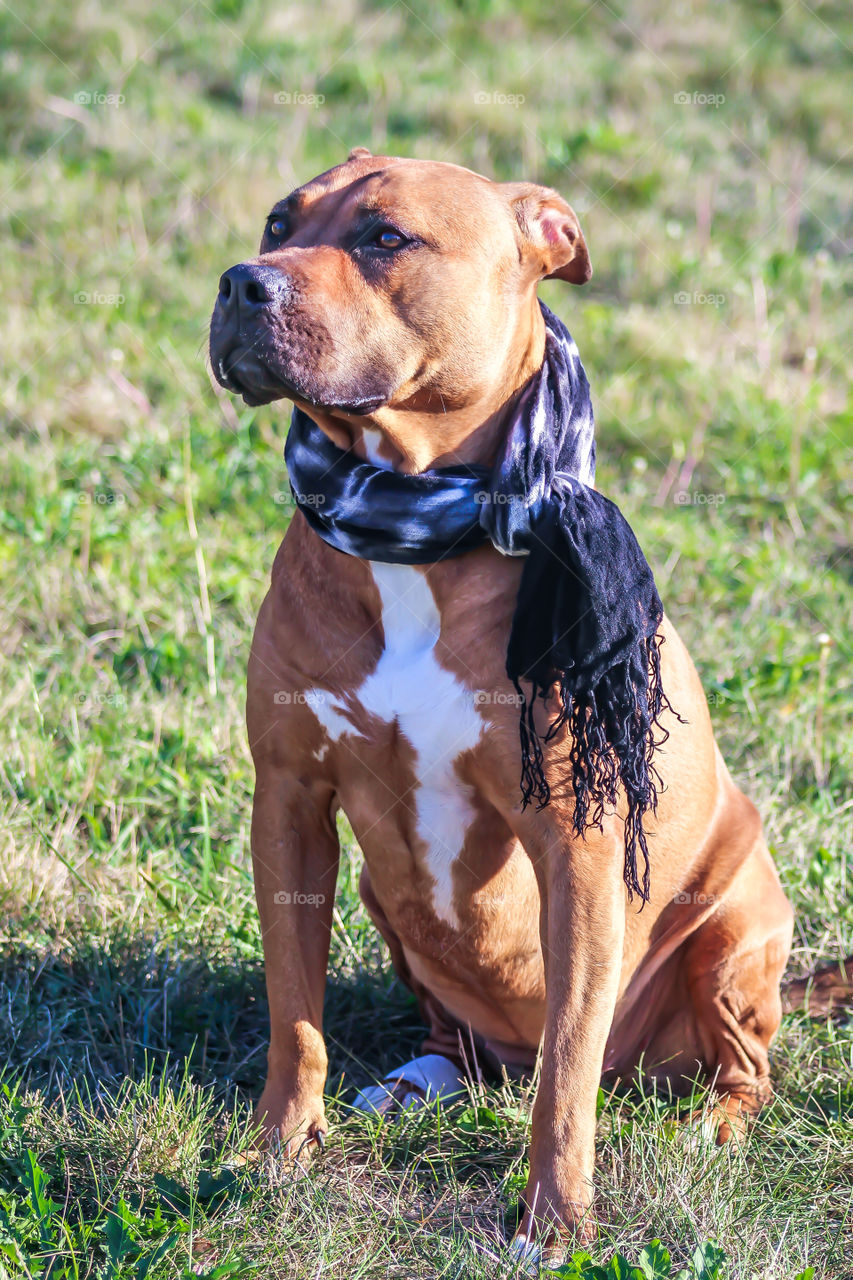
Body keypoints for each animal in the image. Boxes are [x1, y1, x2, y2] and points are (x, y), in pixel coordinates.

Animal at [207, 149, 799, 1259]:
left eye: (385, 238)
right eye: (276, 223)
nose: (238, 282)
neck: (415, 521)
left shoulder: (577, 846)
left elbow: (566, 1074)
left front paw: (554, 1222)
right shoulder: (291, 800)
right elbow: (294, 1013)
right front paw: (278, 1150)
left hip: (738, 927)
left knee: (725, 1067)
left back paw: (710, 1126)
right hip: (383, 898)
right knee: (467, 1040)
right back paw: (420, 1079)